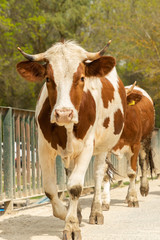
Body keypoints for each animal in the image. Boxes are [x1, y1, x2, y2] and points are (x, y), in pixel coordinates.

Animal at [16, 40, 126, 239]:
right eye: (48, 79)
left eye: (81, 78)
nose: (63, 113)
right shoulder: (43, 147)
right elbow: (51, 188)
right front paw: (66, 213)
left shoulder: (87, 147)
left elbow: (75, 187)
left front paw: (72, 225)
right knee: (70, 172)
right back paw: (79, 212)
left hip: (103, 147)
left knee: (99, 175)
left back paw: (96, 212)